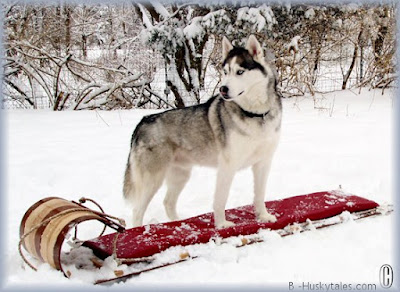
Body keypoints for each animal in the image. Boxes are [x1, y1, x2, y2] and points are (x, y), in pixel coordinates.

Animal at [123, 35, 282, 229]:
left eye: (239, 72)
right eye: (225, 72)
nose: (223, 89)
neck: (255, 114)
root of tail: (143, 121)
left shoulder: (263, 162)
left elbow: (260, 194)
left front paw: (264, 216)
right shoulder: (227, 166)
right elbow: (221, 199)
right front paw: (221, 225)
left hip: (181, 174)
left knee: (168, 202)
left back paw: (177, 223)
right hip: (153, 179)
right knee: (137, 210)